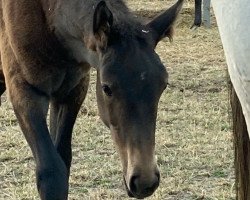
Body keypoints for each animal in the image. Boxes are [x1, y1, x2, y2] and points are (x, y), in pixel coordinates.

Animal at [0, 0, 184, 199]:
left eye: (163, 85)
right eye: (106, 88)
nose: (145, 181)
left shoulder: (72, 90)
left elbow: (63, 158)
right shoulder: (24, 92)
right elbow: (51, 171)